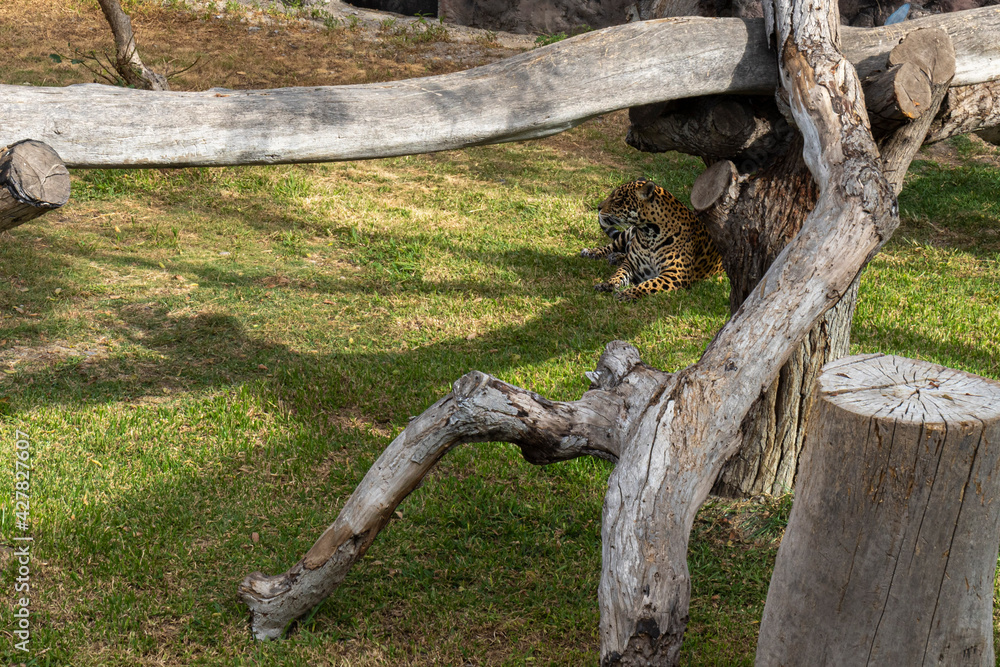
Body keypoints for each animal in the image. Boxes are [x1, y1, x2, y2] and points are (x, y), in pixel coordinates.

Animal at [580, 178, 722, 301]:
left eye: (618, 200)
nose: (598, 207)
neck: (649, 234)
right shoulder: (631, 264)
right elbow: (619, 273)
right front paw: (607, 283)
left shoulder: (674, 275)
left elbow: (648, 285)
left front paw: (626, 294)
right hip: (628, 233)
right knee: (613, 246)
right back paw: (593, 252)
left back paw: (615, 257)